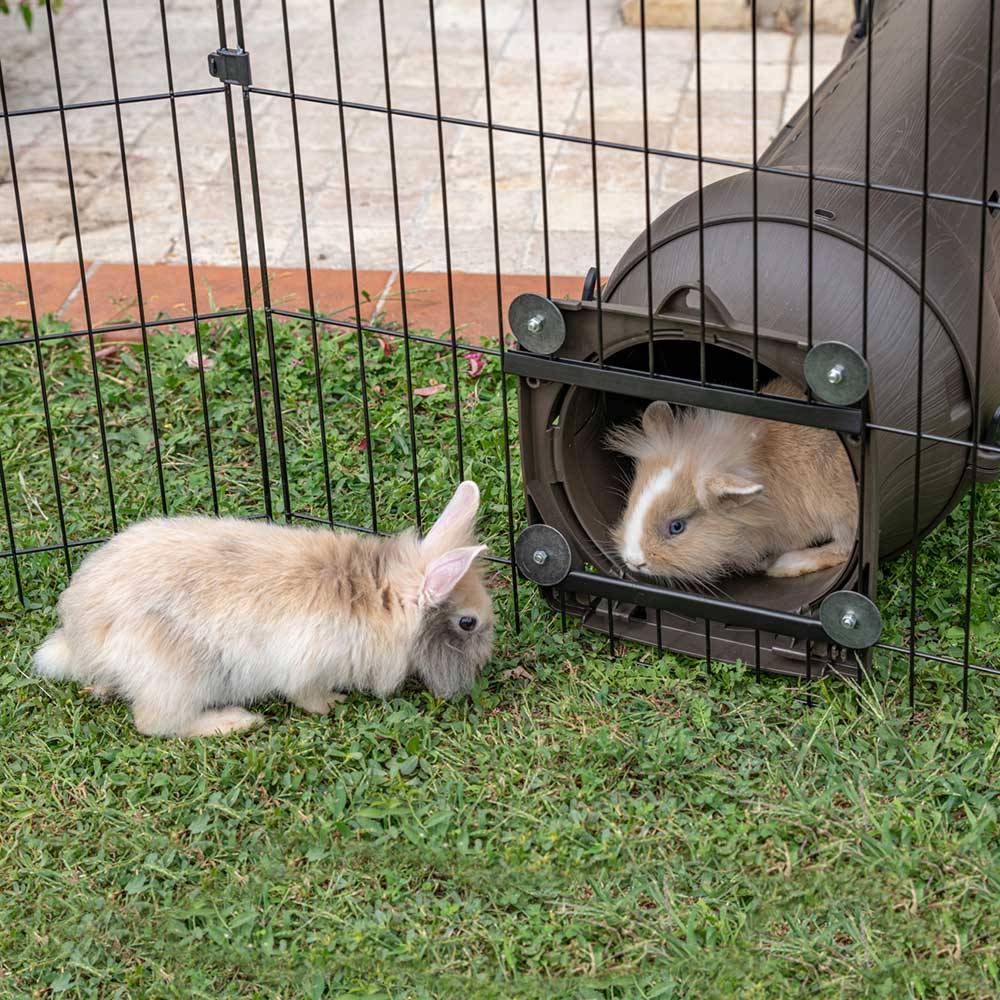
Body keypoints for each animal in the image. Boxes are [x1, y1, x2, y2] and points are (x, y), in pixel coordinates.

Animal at [33, 481, 494, 738]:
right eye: (467, 623)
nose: (485, 662)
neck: (379, 593)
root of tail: (79, 638)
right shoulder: (307, 663)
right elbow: (307, 695)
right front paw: (334, 703)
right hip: (176, 677)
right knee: (156, 724)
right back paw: (235, 722)